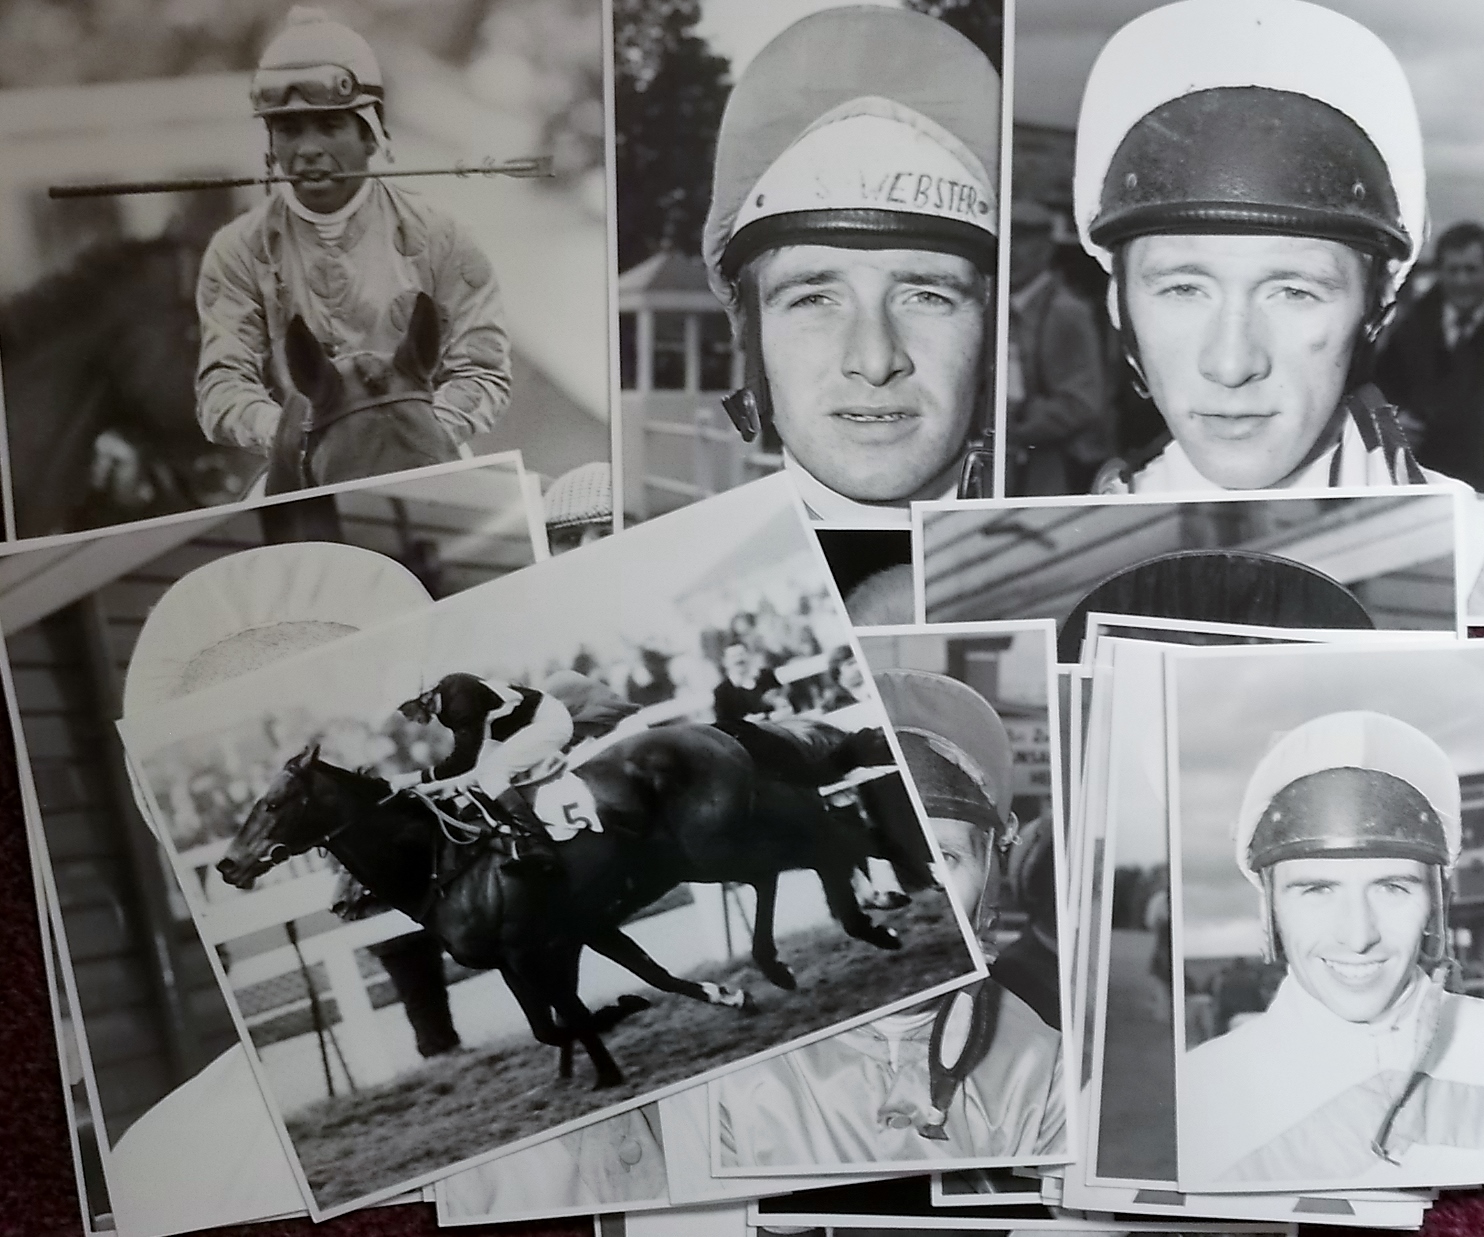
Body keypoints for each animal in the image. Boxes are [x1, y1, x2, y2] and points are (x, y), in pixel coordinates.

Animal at [216, 717, 902, 1085]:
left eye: (272, 804)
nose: (227, 865)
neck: (447, 861)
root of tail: (710, 727)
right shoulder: (559, 940)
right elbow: (564, 1016)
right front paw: (711, 997)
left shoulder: (535, 948)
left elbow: (566, 1015)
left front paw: (611, 1044)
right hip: (728, 835)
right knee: (819, 839)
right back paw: (829, 933)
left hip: (719, 845)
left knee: (811, 848)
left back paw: (862, 920)